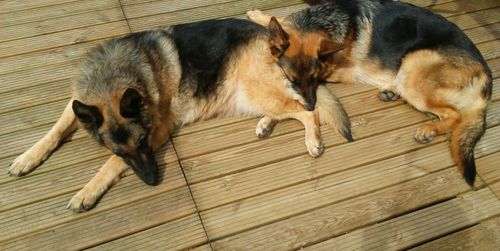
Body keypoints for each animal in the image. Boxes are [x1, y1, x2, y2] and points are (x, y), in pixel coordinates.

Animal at [7, 17, 352, 211]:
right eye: (121, 148)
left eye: (141, 143)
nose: (152, 181)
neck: (112, 77)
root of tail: (281, 44)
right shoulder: (77, 103)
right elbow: (56, 130)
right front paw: (27, 157)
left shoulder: (158, 130)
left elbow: (109, 165)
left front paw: (87, 191)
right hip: (251, 96)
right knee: (290, 108)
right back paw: (266, 124)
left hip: (256, 90)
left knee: (307, 110)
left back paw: (312, 140)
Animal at [246, 0, 492, 186]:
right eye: (292, 79)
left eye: (314, 79)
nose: (310, 106)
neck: (322, 23)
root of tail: (486, 76)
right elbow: (279, 23)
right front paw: (256, 14)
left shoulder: (333, 74)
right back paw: (391, 93)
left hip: (414, 67)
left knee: (454, 114)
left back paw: (428, 130)